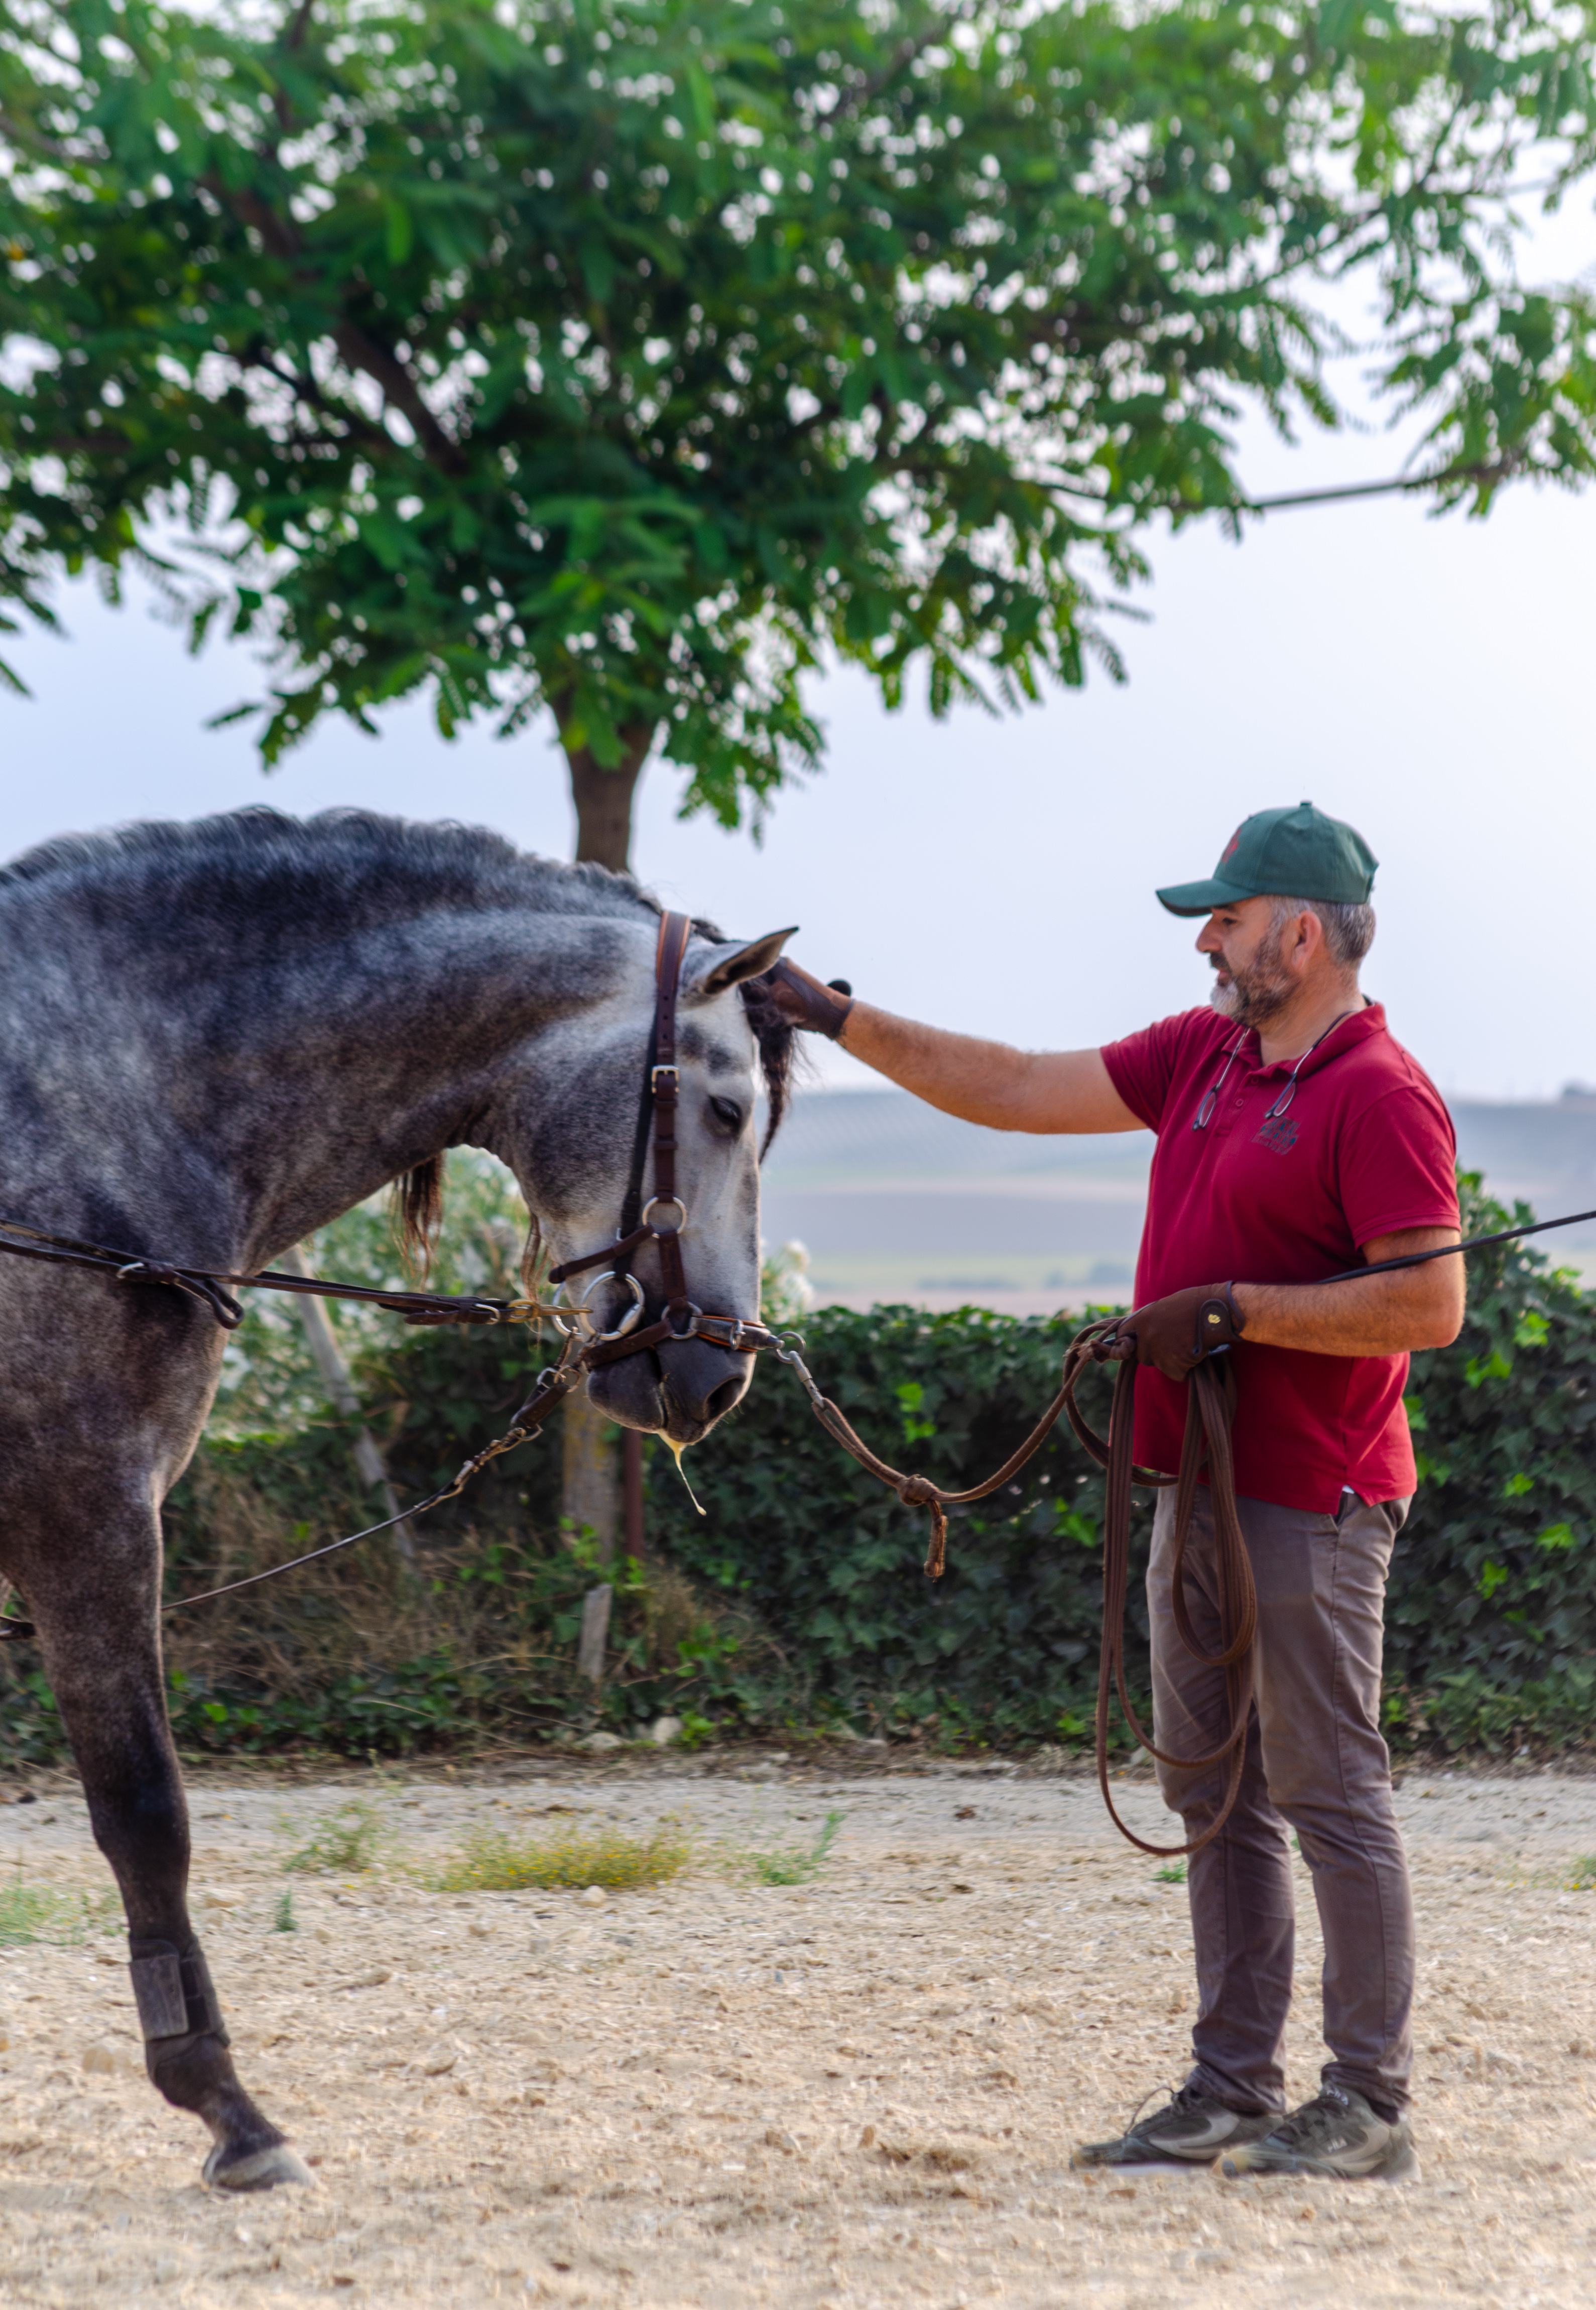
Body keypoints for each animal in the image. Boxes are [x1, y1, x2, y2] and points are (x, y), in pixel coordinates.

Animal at [0, 806, 796, 2189]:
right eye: (726, 1104)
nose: (717, 1371)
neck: (88, 1108)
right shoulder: (86, 1510)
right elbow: (146, 1813)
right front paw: (229, 2111)